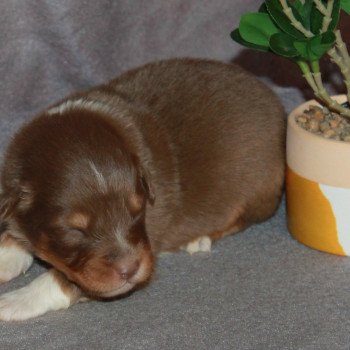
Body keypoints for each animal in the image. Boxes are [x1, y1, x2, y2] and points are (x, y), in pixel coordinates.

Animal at [0, 58, 286, 320]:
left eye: (137, 210)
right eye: (74, 230)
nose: (130, 268)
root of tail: (275, 102)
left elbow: (60, 280)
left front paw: (16, 300)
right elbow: (13, 235)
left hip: (259, 188)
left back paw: (198, 239)